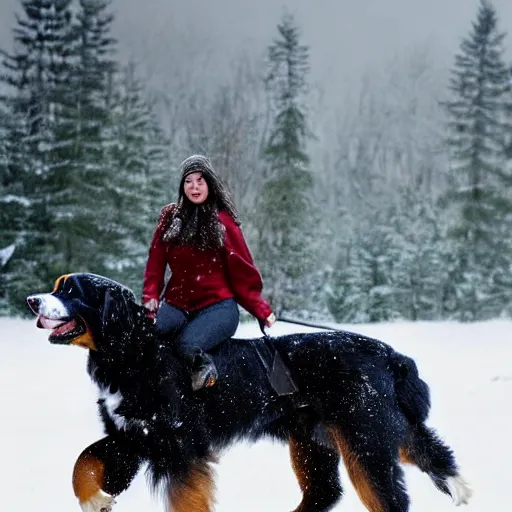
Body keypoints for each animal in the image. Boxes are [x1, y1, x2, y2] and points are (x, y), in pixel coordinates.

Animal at [26, 274, 470, 510]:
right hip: (320, 440)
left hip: (364, 439)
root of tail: (389, 353)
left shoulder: (178, 446)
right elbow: (83, 464)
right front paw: (96, 499)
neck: (133, 351)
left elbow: (184, 499)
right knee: (340, 484)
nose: (31, 299)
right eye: (56, 287)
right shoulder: (132, 436)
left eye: (71, 291)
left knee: (387, 494)